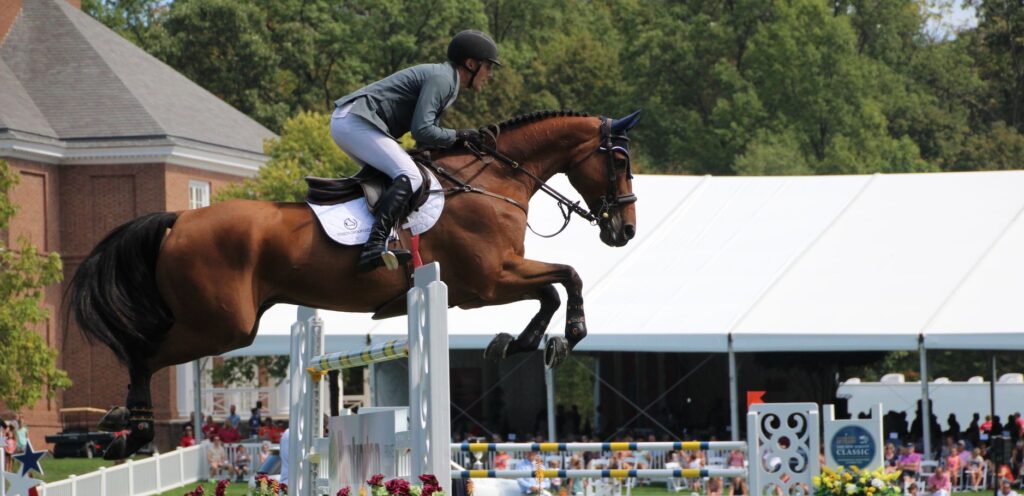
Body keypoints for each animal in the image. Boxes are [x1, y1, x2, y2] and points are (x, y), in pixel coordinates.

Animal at [66, 109, 640, 460]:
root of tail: (179, 220)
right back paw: (130, 432)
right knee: (142, 350)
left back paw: (119, 423)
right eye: (618, 160)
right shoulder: (489, 280)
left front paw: (519, 342)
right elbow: (565, 278)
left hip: (218, 323)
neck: (491, 182)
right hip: (221, 326)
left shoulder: (485, 286)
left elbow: (552, 287)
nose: (624, 231)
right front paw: (566, 334)